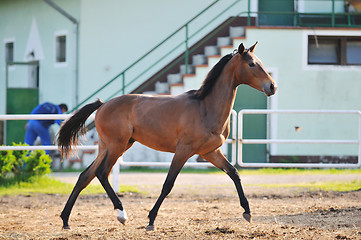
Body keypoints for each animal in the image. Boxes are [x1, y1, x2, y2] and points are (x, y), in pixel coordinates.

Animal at [57, 42, 276, 231]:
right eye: (251, 64)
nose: (272, 86)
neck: (205, 108)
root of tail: (102, 104)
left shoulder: (211, 152)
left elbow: (234, 173)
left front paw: (247, 212)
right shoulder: (183, 151)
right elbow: (168, 184)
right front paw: (151, 220)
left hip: (109, 146)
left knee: (85, 176)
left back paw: (66, 220)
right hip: (116, 146)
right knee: (102, 173)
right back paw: (121, 214)